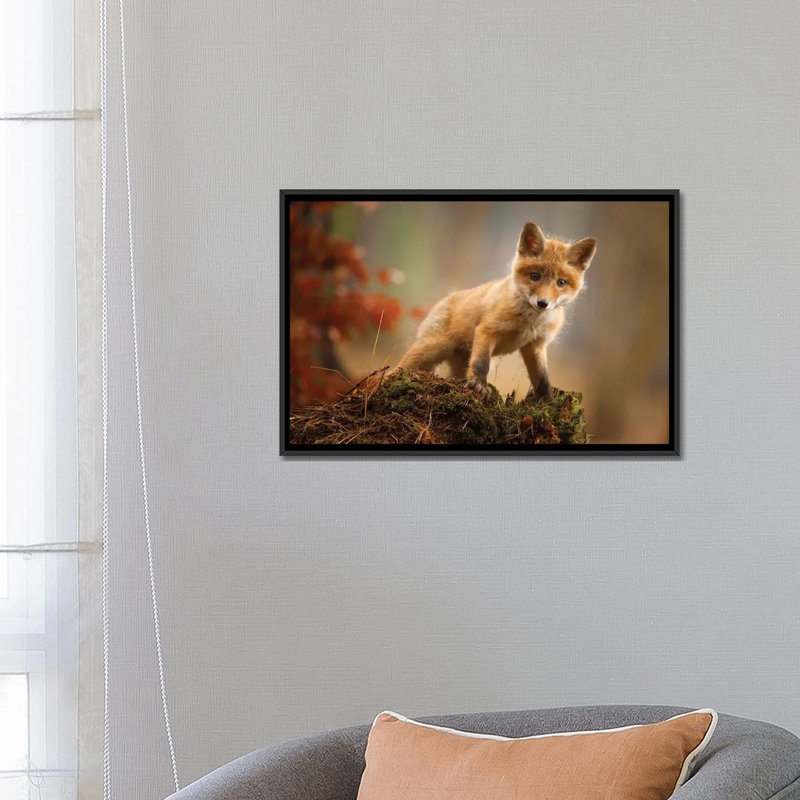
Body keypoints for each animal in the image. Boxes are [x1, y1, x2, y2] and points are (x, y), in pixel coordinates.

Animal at [396, 221, 596, 400]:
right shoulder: (487, 330)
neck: (529, 322)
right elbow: (481, 363)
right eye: (535, 276)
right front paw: (479, 385)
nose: (542, 303)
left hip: (457, 363)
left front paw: (547, 401)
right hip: (430, 350)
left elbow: (542, 378)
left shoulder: (536, 345)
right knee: (399, 368)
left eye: (561, 282)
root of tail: (443, 300)